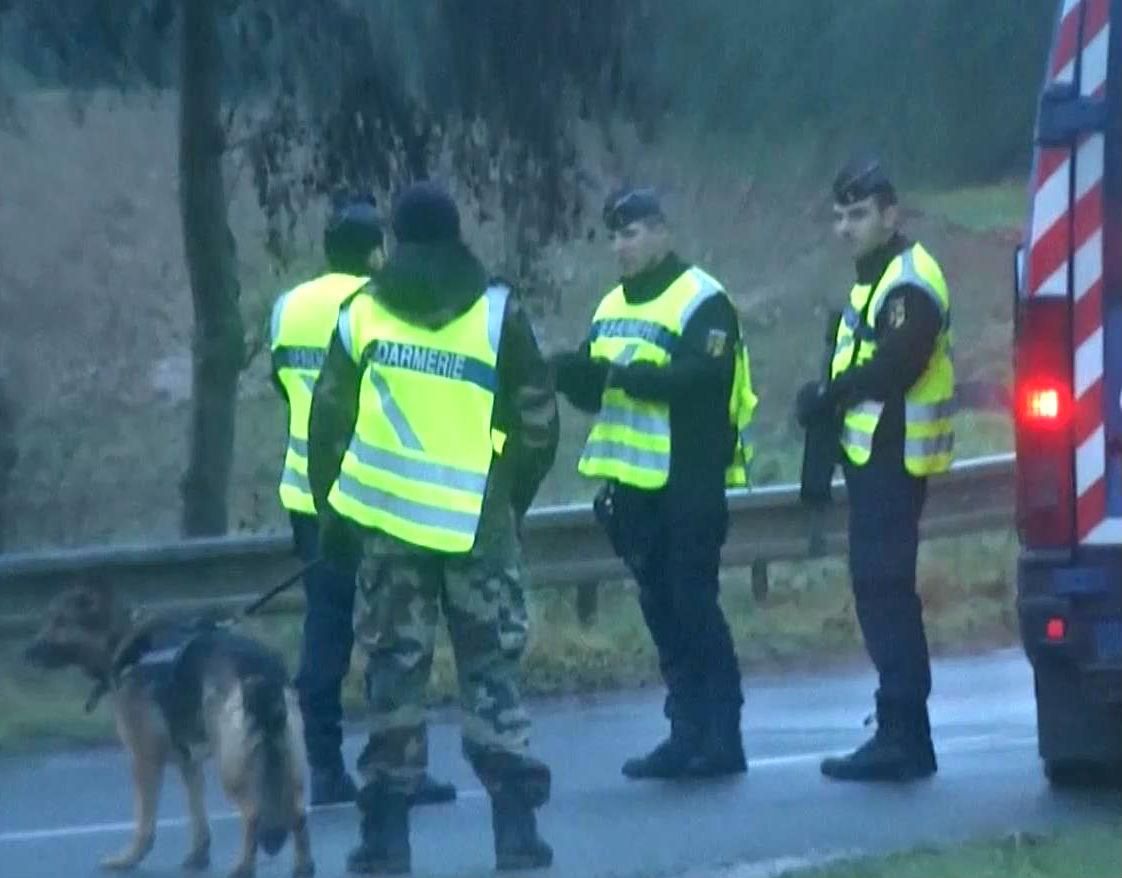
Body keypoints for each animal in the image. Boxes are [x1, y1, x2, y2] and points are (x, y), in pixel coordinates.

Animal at [26, 583, 316, 878]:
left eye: (59, 621)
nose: (27, 653)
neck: (123, 642)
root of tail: (258, 668)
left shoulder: (144, 760)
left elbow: (145, 821)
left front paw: (128, 859)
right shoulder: (189, 762)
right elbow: (197, 814)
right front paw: (198, 856)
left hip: (231, 763)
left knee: (252, 813)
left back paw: (242, 868)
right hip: (286, 757)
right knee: (297, 811)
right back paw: (303, 867)